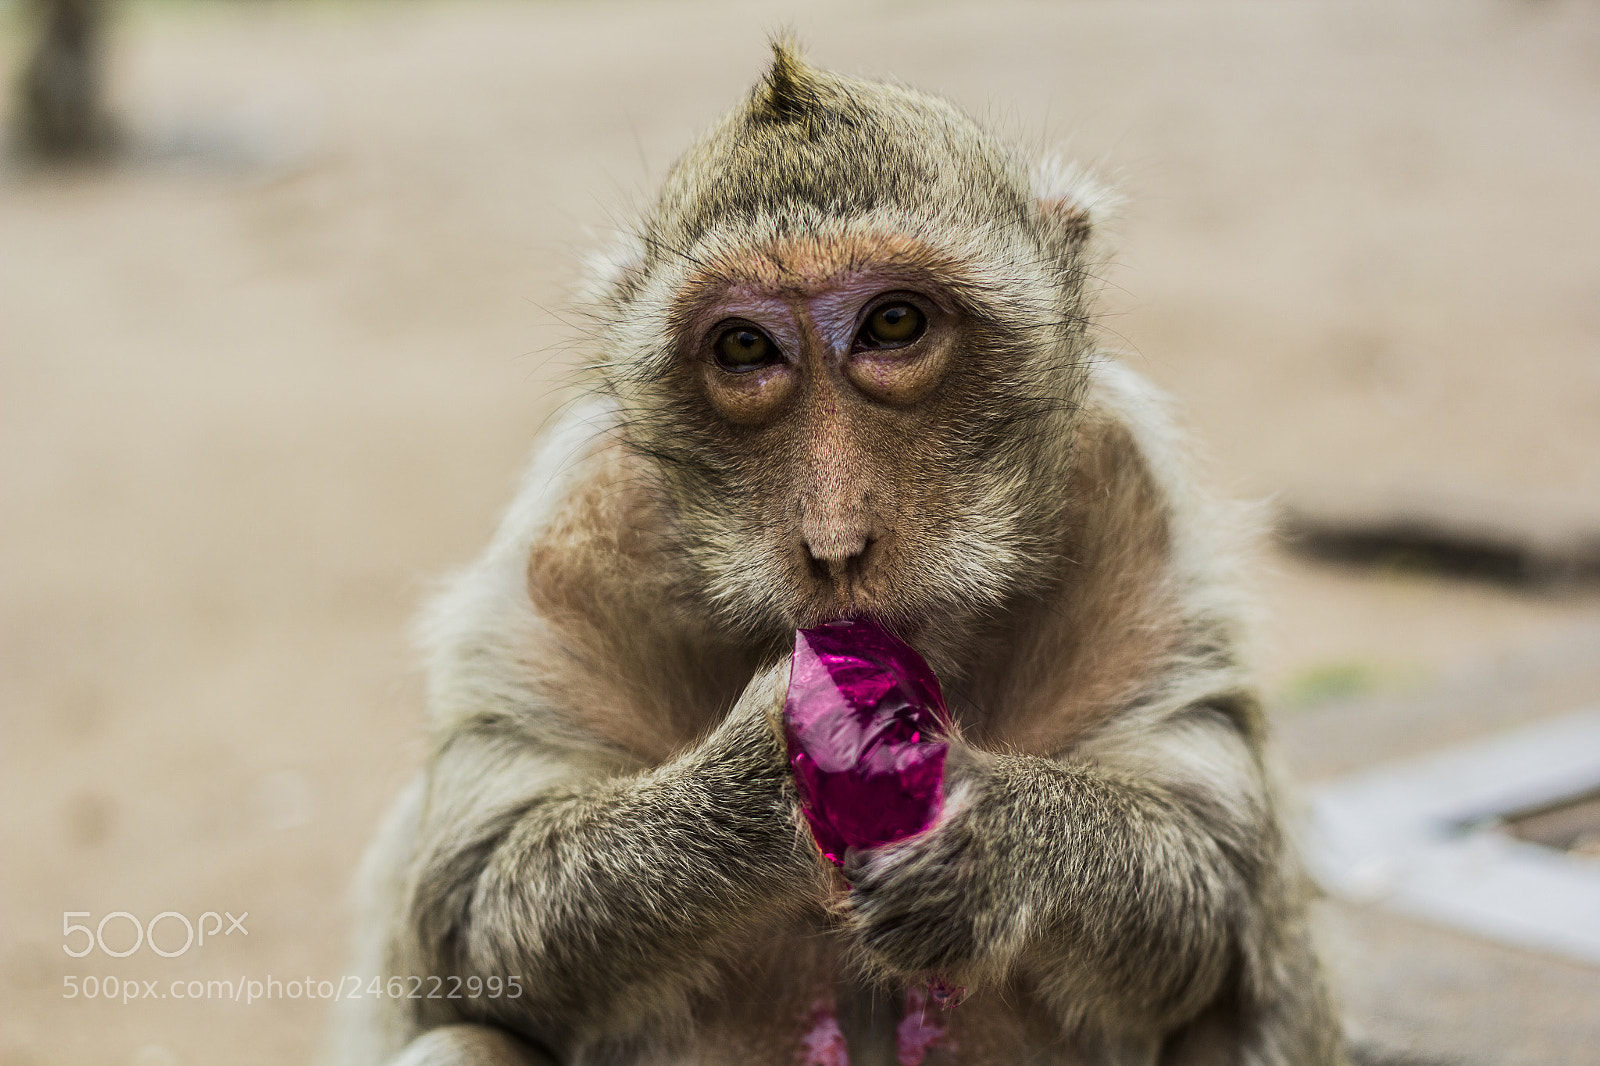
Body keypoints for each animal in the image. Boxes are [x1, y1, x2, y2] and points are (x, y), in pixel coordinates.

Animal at [328, 43, 1348, 1066]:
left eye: (893, 324)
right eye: (745, 346)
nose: (834, 540)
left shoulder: (1130, 495)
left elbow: (1212, 886)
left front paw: (996, 845)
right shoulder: (575, 533)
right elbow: (474, 910)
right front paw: (757, 783)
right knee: (465, 1037)